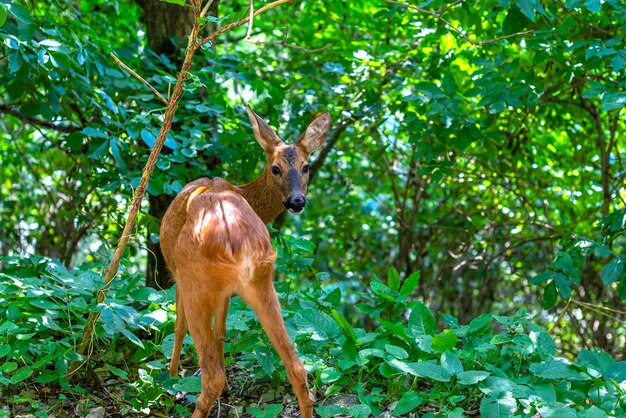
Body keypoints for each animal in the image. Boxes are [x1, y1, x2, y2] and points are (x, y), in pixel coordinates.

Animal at [158, 107, 330, 418]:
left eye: (306, 166)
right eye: (276, 168)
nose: (297, 201)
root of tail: (239, 242)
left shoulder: (176, 275)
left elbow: (177, 327)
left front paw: (172, 376)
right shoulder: (226, 294)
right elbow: (222, 332)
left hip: (195, 281)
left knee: (210, 374)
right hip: (262, 282)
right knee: (297, 367)